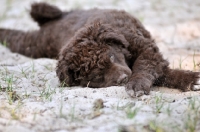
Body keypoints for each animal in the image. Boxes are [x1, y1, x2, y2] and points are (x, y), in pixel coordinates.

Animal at [0, 2, 199, 97]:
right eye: (96, 77)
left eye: (111, 57)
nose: (122, 79)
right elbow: (159, 73)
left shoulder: (146, 49)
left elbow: (146, 67)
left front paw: (136, 84)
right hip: (37, 45)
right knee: (18, 39)